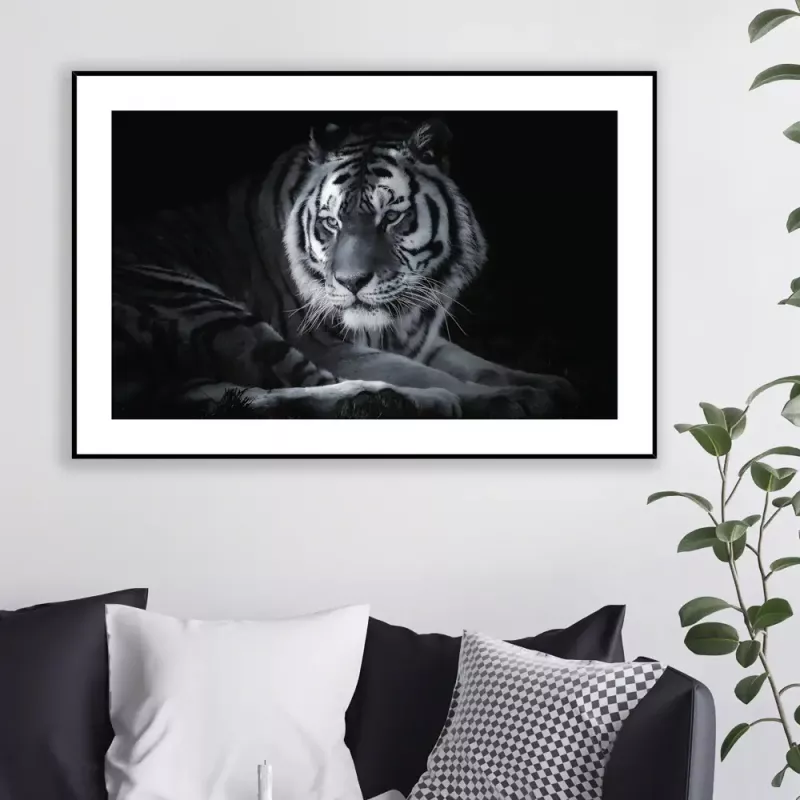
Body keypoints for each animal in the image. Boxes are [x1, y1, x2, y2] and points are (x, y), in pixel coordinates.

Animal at [112, 116, 576, 419]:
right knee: (304, 382)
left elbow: (477, 363)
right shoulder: (323, 341)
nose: (352, 282)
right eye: (331, 222)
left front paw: (550, 384)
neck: (404, 316)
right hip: (196, 301)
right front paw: (514, 398)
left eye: (391, 218)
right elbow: (425, 372)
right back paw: (417, 402)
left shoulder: (420, 338)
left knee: (236, 399)